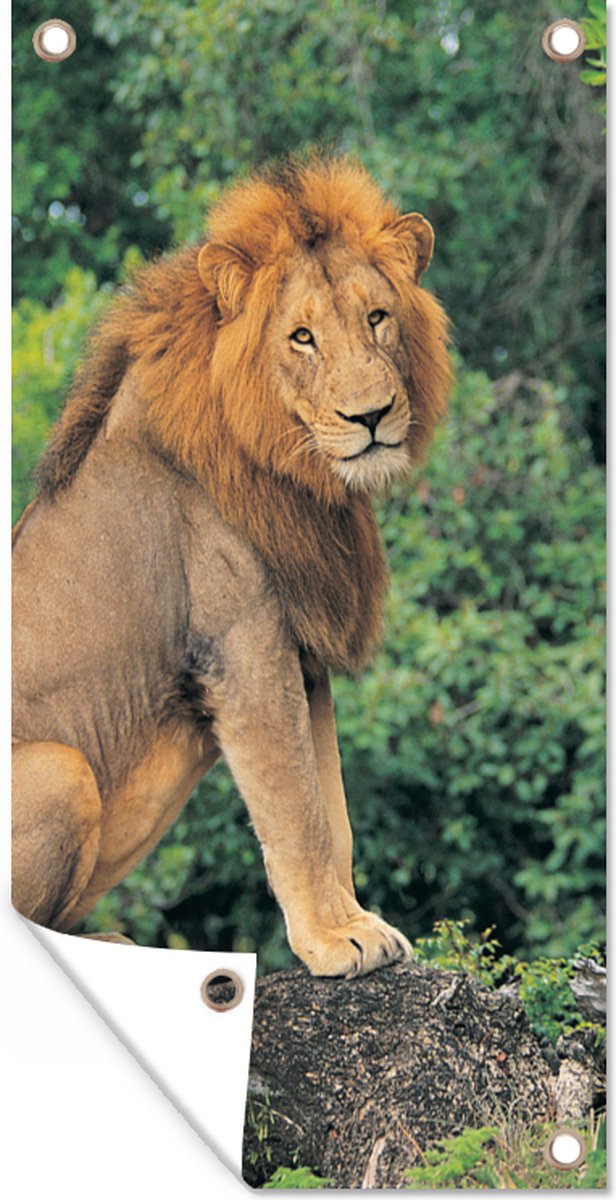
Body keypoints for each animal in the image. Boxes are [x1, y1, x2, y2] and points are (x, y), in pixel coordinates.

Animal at [12, 153, 451, 977]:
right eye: (302, 337)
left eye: (377, 318)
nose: (372, 417)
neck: (299, 478)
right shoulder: (242, 646)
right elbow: (297, 812)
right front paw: (335, 942)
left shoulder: (301, 657)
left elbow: (332, 812)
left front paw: (355, 924)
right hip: (61, 770)